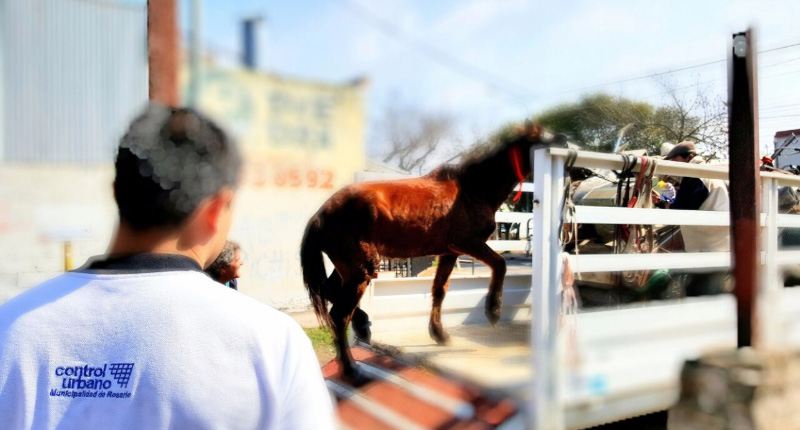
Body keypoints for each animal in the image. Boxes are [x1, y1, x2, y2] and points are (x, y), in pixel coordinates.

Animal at [300, 123, 565, 380]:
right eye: (539, 137)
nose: (563, 139)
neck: (472, 189)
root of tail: (320, 215)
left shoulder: (449, 252)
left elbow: (439, 290)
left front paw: (439, 334)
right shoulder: (468, 243)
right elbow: (500, 264)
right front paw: (493, 310)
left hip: (349, 269)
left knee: (330, 291)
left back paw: (363, 325)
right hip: (360, 269)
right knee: (338, 314)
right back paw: (351, 368)